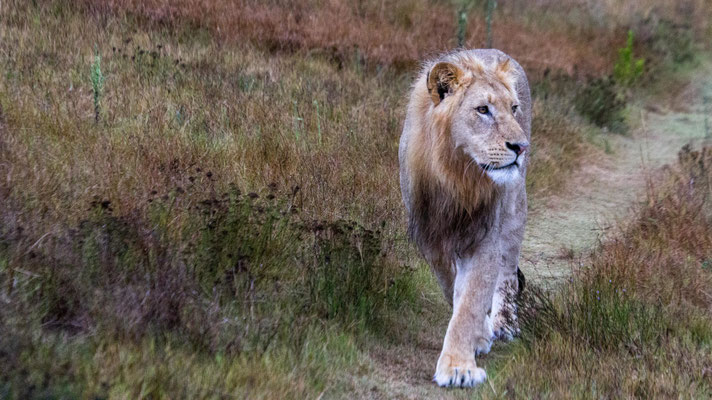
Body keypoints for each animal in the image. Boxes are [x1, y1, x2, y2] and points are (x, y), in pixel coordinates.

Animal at [398, 49, 531, 387]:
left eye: (513, 108)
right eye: (483, 110)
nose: (521, 147)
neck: (459, 175)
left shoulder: (486, 238)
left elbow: (470, 300)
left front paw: (459, 367)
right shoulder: (430, 237)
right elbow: (452, 287)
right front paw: (474, 340)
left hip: (515, 209)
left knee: (508, 273)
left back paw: (503, 325)